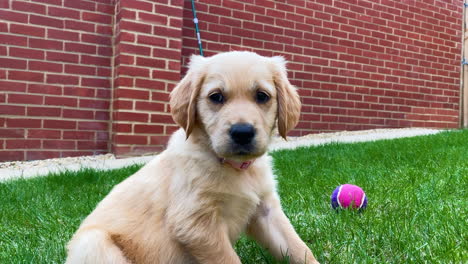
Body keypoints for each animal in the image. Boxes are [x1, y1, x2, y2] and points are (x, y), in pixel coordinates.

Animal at [66, 51, 320, 264]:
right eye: (216, 97)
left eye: (262, 96)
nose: (242, 132)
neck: (233, 166)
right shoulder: (196, 224)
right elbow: (228, 260)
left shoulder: (266, 210)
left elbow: (298, 248)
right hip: (95, 243)